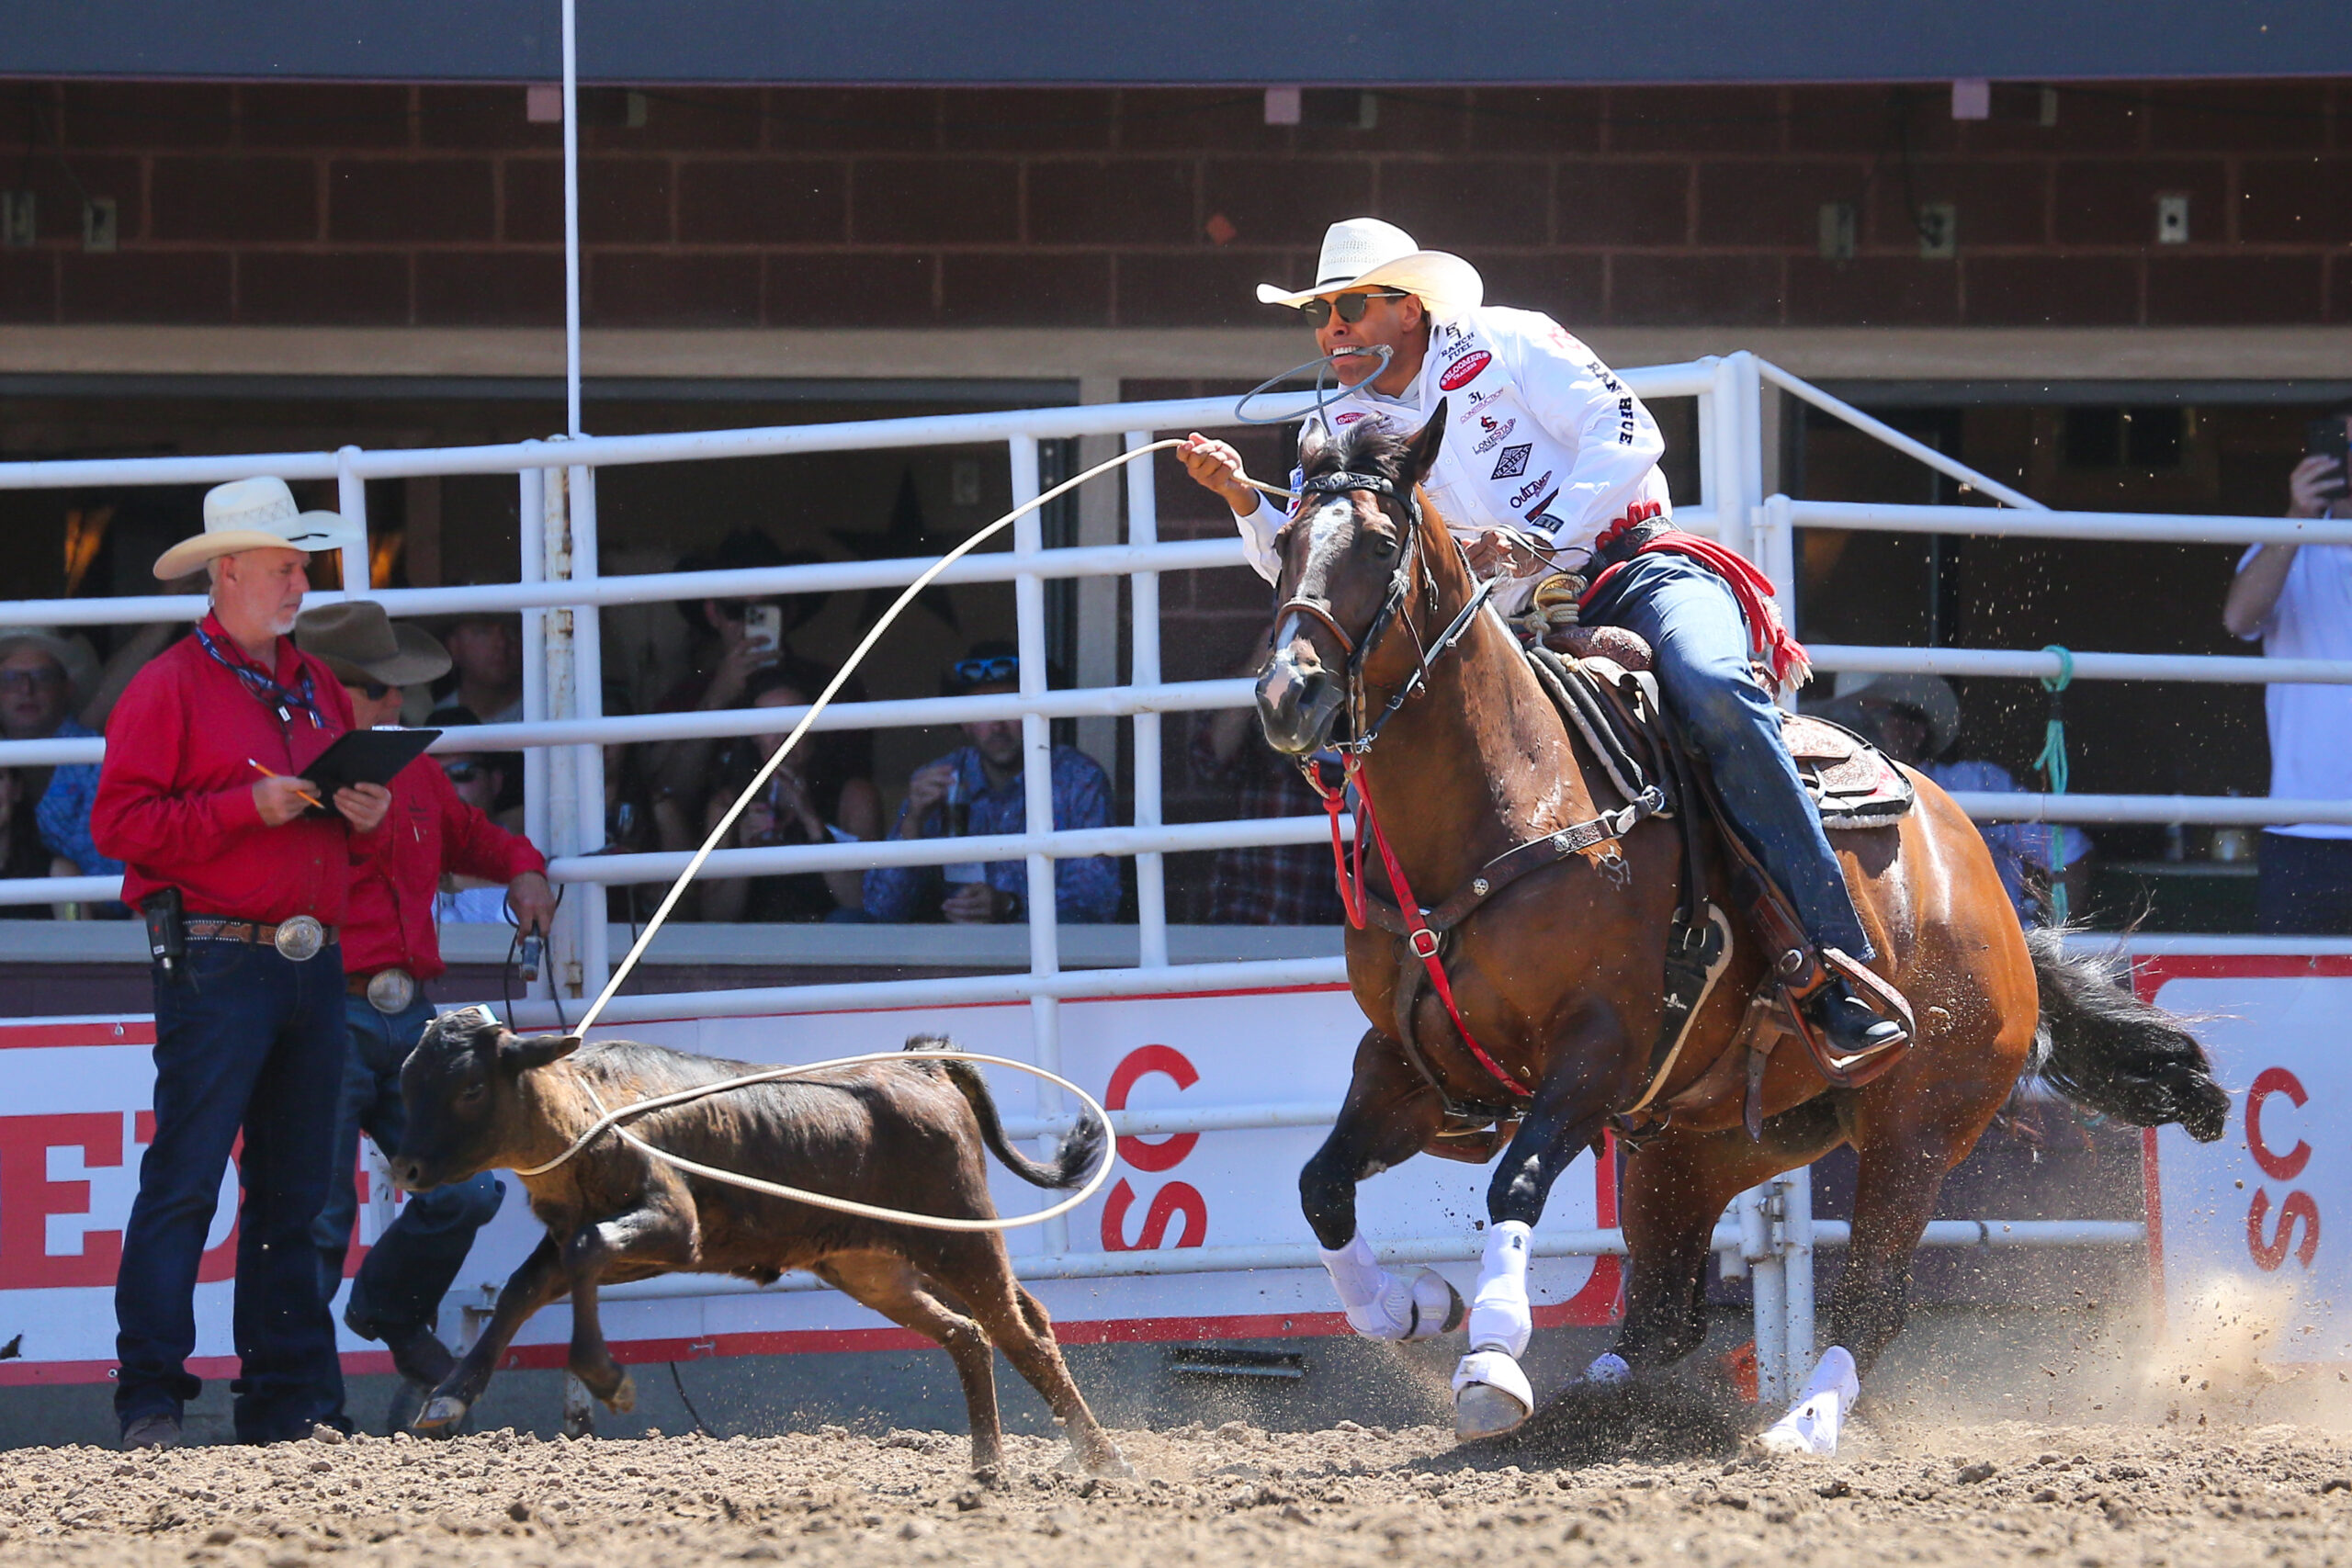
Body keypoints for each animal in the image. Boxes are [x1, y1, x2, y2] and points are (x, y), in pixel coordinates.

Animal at [392, 1010, 1128, 1476]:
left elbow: (585, 1254)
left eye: (470, 1087)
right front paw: (450, 1395)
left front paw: (606, 1376)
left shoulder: (673, 1226)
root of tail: (922, 1067)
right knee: (975, 1334)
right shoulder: (593, 1242)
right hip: (877, 1266)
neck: (591, 1110)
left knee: (1021, 1337)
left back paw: (1105, 1459)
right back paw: (988, 1466)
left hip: (957, 1242)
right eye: (408, 1081)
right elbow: (524, 1289)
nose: (405, 1168)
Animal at [1261, 409, 2229, 1457]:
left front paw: (1490, 1360)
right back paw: (1595, 1410)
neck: (1511, 798)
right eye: (1284, 541)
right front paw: (1412, 1307)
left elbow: (1515, 1183)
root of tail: (1994, 902)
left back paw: (1799, 1428)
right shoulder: (1410, 1061)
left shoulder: (1595, 1053)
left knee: (1872, 1299)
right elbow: (1318, 1183)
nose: (1287, 696)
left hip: (1919, 1128)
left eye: (1380, 545)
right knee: (1659, 1314)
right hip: (1696, 1148)